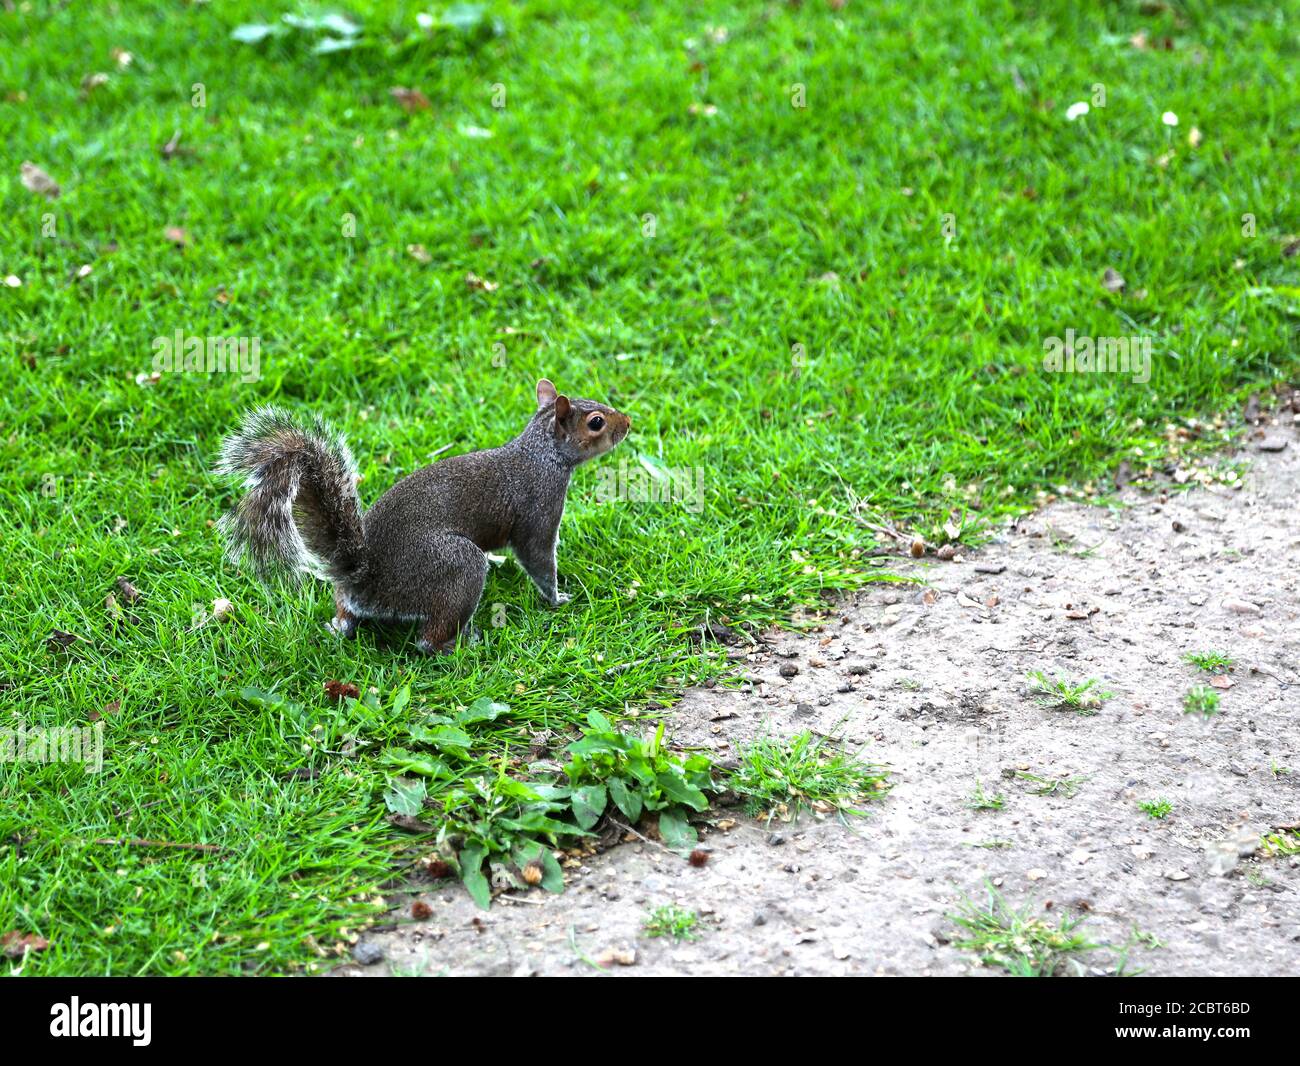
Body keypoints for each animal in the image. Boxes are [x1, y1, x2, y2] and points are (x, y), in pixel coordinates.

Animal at [215, 379, 631, 652]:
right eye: (596, 421)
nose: (627, 423)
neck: (542, 455)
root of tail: (367, 579)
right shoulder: (539, 508)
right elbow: (539, 557)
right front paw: (558, 598)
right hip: (456, 568)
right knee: (426, 639)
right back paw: (458, 644)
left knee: (347, 618)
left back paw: (339, 625)